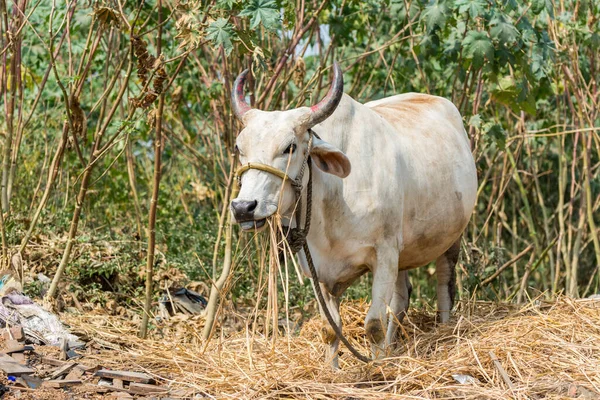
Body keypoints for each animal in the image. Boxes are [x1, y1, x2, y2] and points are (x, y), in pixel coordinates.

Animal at [230, 61, 478, 366]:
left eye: (290, 147)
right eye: (239, 148)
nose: (243, 207)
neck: (335, 199)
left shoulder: (384, 254)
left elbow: (373, 325)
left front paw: (377, 368)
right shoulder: (318, 266)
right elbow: (330, 328)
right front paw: (332, 369)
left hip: (451, 238)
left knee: (444, 286)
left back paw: (442, 331)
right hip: (403, 252)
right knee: (401, 299)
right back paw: (392, 348)